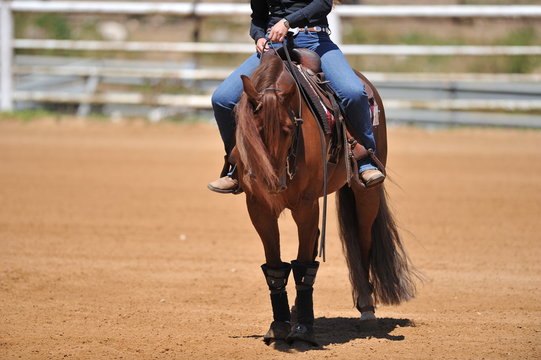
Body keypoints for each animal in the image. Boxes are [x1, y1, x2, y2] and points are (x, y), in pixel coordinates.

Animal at [234, 52, 416, 346]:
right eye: (253, 127)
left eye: (289, 128)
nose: (272, 183)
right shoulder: (259, 207)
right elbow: (275, 267)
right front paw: (280, 325)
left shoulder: (306, 204)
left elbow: (303, 266)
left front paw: (304, 330)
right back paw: (297, 311)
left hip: (365, 194)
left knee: (363, 243)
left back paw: (366, 311)